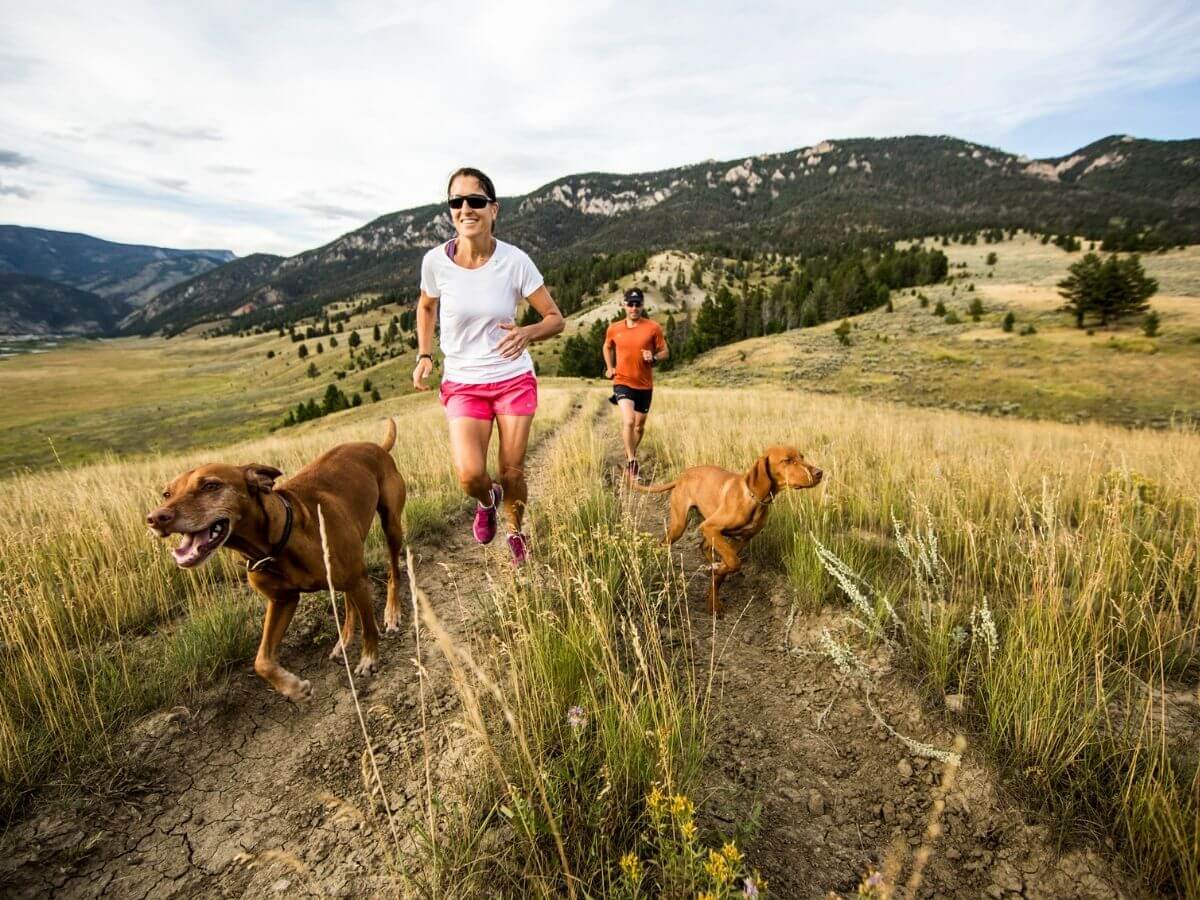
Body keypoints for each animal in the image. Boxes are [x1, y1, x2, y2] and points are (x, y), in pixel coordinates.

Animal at [144, 420, 408, 700]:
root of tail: (377, 447)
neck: (276, 543)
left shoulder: (357, 580)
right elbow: (261, 661)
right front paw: (293, 687)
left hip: (391, 526)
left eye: (210, 486)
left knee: (393, 571)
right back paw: (343, 641)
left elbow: (370, 628)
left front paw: (369, 659)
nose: (155, 518)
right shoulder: (282, 601)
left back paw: (392, 612)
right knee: (349, 602)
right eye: (166, 493)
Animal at [638, 448, 825, 619]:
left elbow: (728, 566)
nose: (819, 473)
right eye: (787, 460)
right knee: (663, 543)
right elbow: (734, 562)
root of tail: (682, 475)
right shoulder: (710, 527)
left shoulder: (742, 538)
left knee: (703, 546)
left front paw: (714, 598)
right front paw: (715, 576)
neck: (754, 498)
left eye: (802, 457)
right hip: (680, 525)